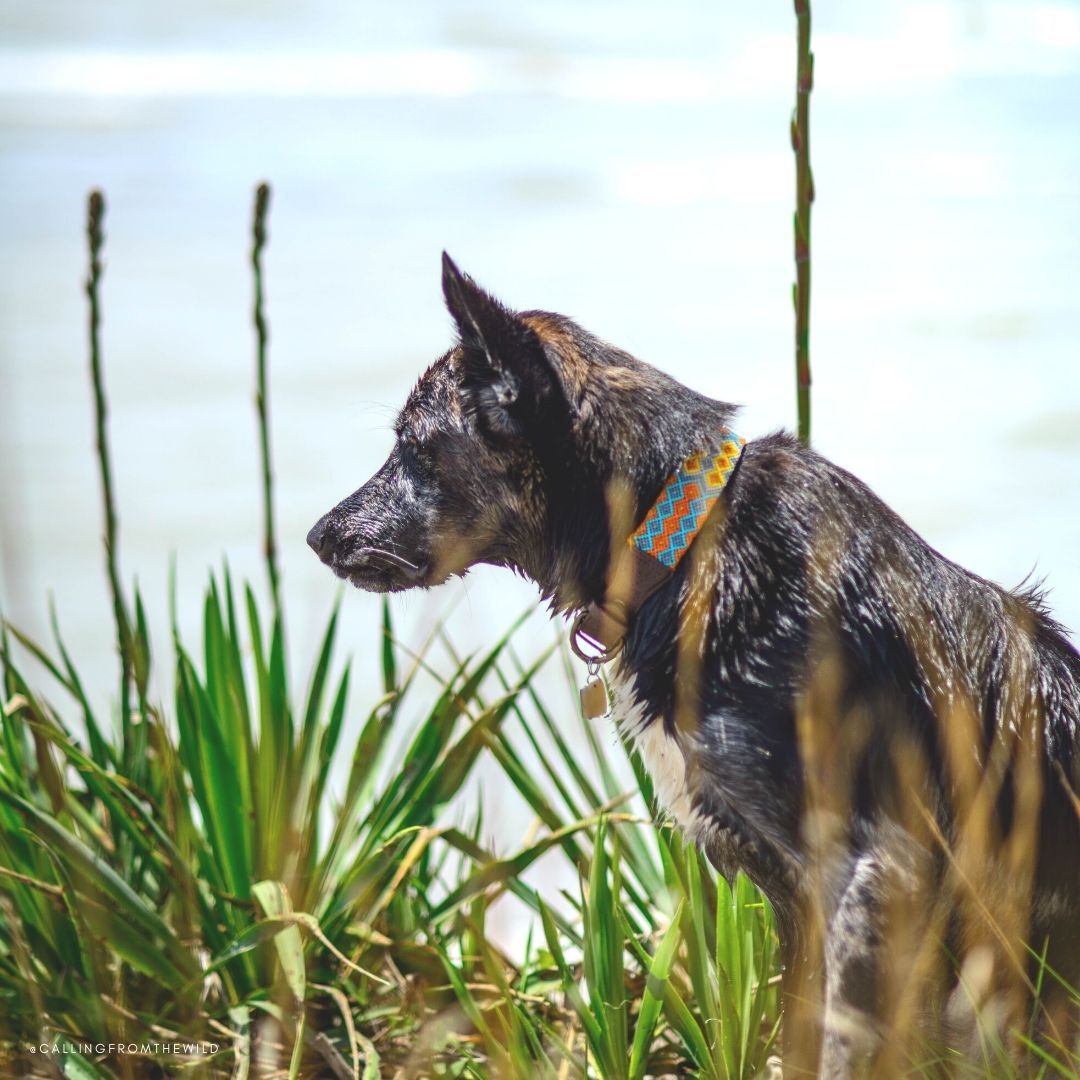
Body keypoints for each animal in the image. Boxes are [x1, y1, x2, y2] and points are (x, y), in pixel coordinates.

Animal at [308, 255, 1080, 1075]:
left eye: (415, 448)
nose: (318, 536)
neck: (679, 545)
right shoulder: (795, 898)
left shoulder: (869, 871)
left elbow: (833, 1044)